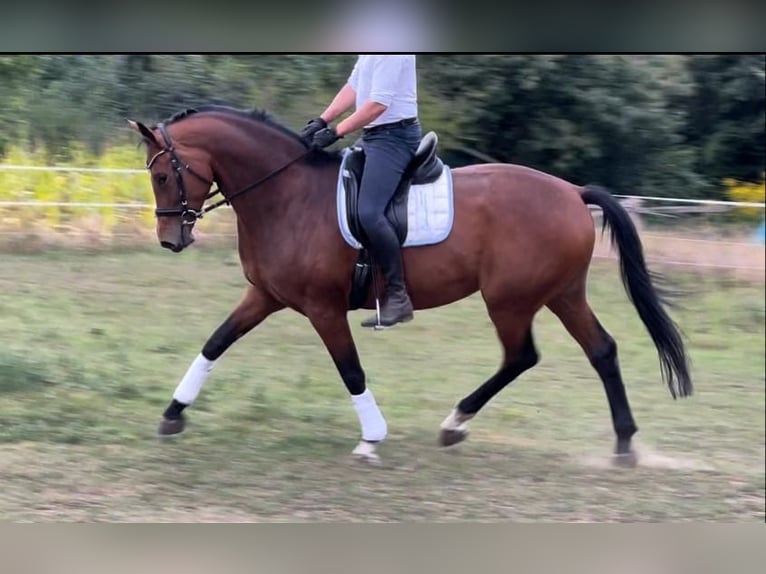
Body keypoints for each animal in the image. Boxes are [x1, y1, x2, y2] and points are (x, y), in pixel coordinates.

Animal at [130, 106, 696, 466]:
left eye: (163, 176)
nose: (170, 239)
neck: (286, 196)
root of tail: (573, 193)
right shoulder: (265, 297)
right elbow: (215, 343)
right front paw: (172, 415)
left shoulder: (322, 308)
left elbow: (351, 370)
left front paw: (371, 440)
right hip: (560, 294)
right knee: (600, 350)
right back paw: (622, 444)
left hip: (510, 300)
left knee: (522, 356)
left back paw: (457, 422)